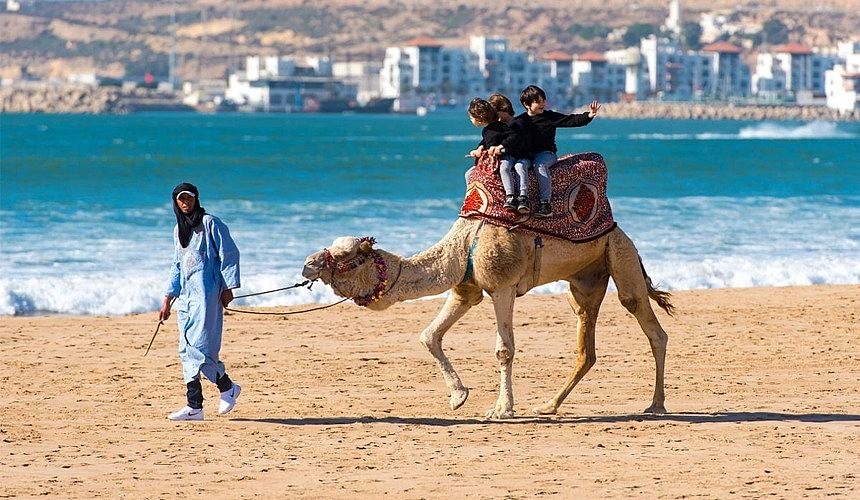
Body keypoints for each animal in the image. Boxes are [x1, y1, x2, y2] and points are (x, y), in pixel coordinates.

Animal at [300, 218, 672, 418]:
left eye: (345, 257)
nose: (307, 263)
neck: (462, 246)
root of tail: (621, 231)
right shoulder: (465, 289)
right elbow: (429, 335)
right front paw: (458, 397)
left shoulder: (503, 286)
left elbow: (504, 350)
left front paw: (501, 409)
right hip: (585, 281)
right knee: (586, 347)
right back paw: (548, 406)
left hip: (619, 254)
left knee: (649, 323)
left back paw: (656, 405)